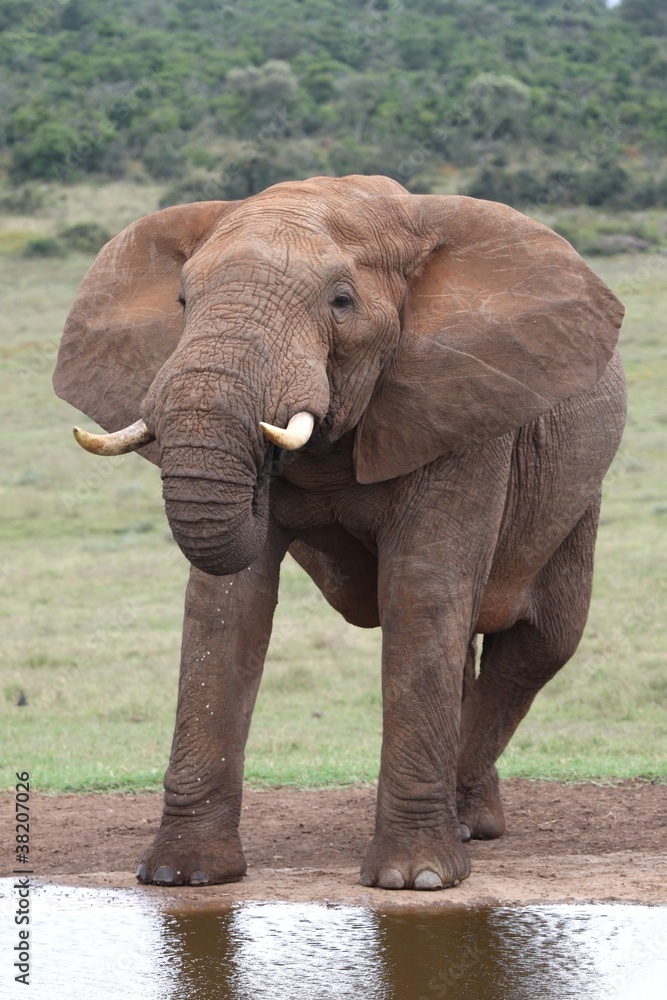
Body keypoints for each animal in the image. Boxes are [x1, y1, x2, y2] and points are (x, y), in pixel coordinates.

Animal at [53, 174, 626, 891]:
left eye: (342, 302)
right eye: (183, 301)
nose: (263, 470)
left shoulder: (464, 409)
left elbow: (421, 591)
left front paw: (417, 880)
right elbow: (228, 603)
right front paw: (183, 876)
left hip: (577, 493)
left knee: (539, 643)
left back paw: (467, 825)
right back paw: (469, 823)